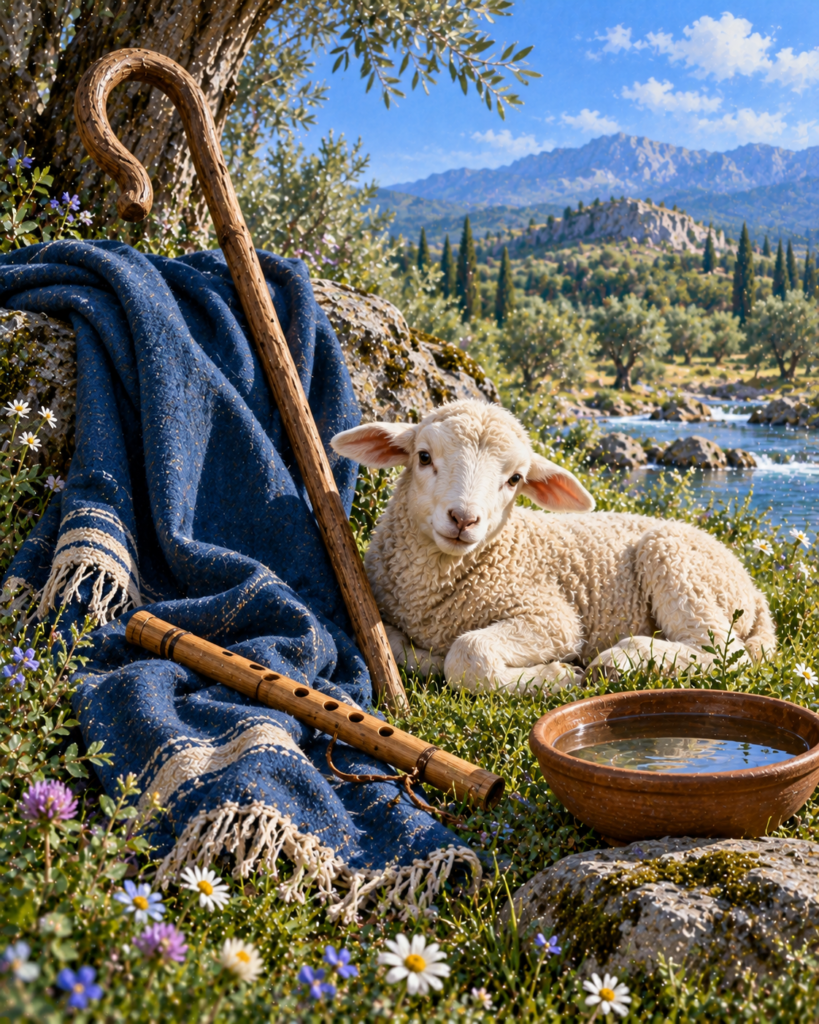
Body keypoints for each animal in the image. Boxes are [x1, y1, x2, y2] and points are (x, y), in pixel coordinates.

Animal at [331, 400, 777, 693]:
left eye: (515, 479)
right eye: (424, 457)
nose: (463, 520)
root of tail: (754, 591)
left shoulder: (552, 617)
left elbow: (469, 653)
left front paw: (556, 676)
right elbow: (393, 646)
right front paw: (429, 660)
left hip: (677, 561)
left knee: (724, 653)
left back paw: (619, 660)